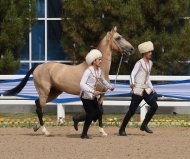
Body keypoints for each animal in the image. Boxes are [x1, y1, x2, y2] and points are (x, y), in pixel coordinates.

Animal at [4, 26, 135, 135]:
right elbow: (96, 112)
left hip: (54, 92)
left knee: (38, 104)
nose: (131, 49)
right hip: (44, 91)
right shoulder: (93, 94)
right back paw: (45, 131)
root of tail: (38, 67)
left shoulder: (101, 96)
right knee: (39, 108)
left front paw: (101, 131)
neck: (97, 67)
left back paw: (37, 127)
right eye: (118, 38)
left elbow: (100, 112)